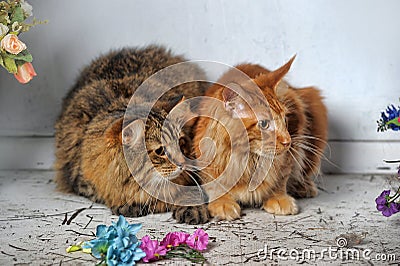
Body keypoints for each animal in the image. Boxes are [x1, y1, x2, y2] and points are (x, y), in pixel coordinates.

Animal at [55, 45, 209, 224]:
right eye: (160, 151)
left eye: (180, 142)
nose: (182, 164)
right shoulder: (81, 180)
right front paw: (132, 204)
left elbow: (192, 191)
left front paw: (192, 209)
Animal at [194, 56, 328, 220]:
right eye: (264, 124)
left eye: (285, 119)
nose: (288, 141)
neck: (249, 160)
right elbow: (213, 184)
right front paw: (222, 201)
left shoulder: (289, 156)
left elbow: (281, 178)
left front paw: (278, 197)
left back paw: (303, 187)